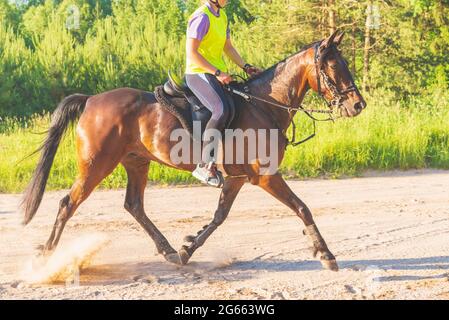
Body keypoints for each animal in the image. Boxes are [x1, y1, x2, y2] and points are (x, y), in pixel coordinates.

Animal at [20, 30, 364, 272]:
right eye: (334, 67)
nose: (357, 105)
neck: (264, 105)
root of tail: (91, 100)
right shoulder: (266, 176)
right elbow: (302, 207)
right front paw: (326, 254)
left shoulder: (237, 178)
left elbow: (219, 217)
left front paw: (187, 249)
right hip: (96, 165)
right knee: (68, 203)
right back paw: (46, 259)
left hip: (136, 162)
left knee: (134, 206)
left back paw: (169, 250)